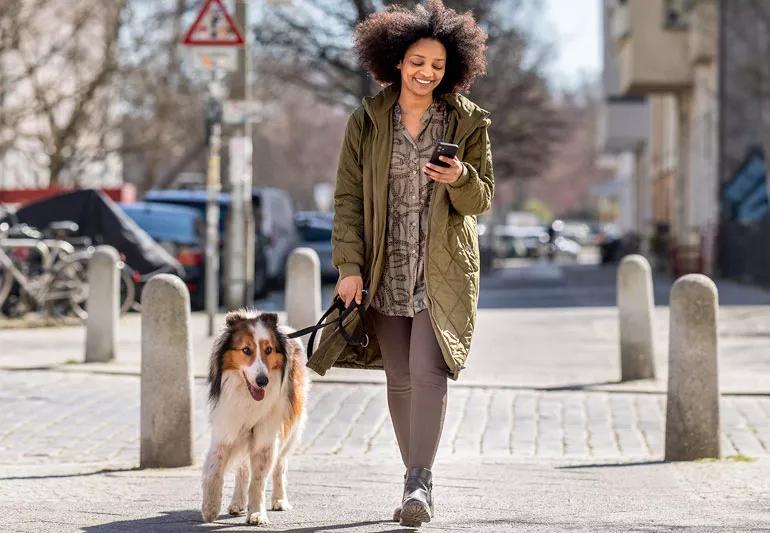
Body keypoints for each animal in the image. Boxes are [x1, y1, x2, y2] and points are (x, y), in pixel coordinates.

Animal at [201, 308, 308, 524]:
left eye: (269, 350)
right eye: (246, 350)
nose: (262, 381)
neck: (247, 397)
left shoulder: (266, 438)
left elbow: (258, 480)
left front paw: (257, 514)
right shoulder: (226, 429)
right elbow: (214, 470)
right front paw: (210, 507)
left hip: (290, 431)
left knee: (280, 466)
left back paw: (279, 500)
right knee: (242, 469)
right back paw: (237, 503)